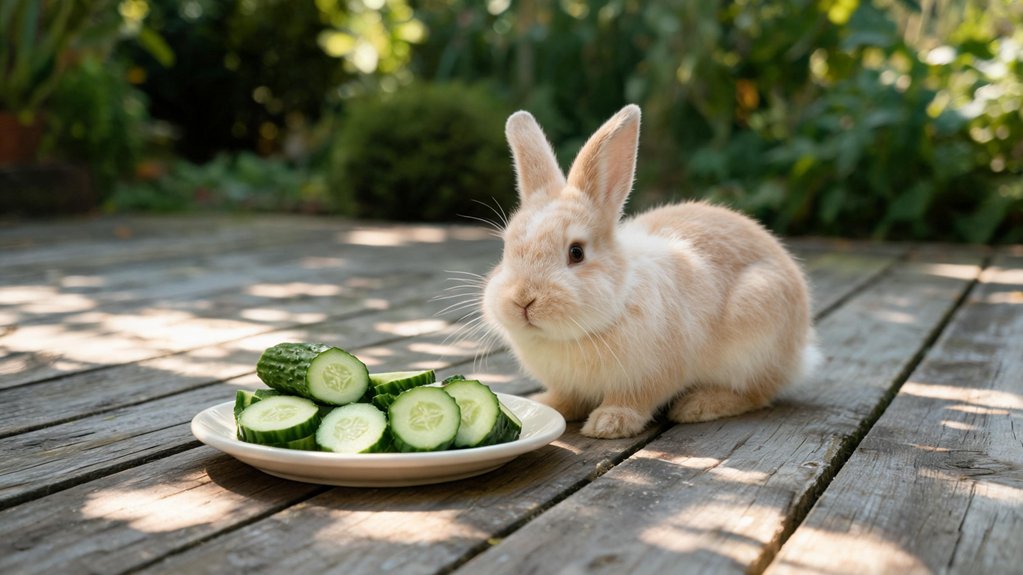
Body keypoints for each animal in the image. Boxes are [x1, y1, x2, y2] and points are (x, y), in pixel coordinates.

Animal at [481, 104, 821, 439]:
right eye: (506, 248)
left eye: (576, 252)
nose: (523, 300)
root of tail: (800, 352)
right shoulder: (569, 384)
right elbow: (568, 397)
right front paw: (548, 405)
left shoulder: (652, 376)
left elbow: (634, 400)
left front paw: (609, 423)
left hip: (756, 336)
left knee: (757, 393)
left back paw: (698, 406)